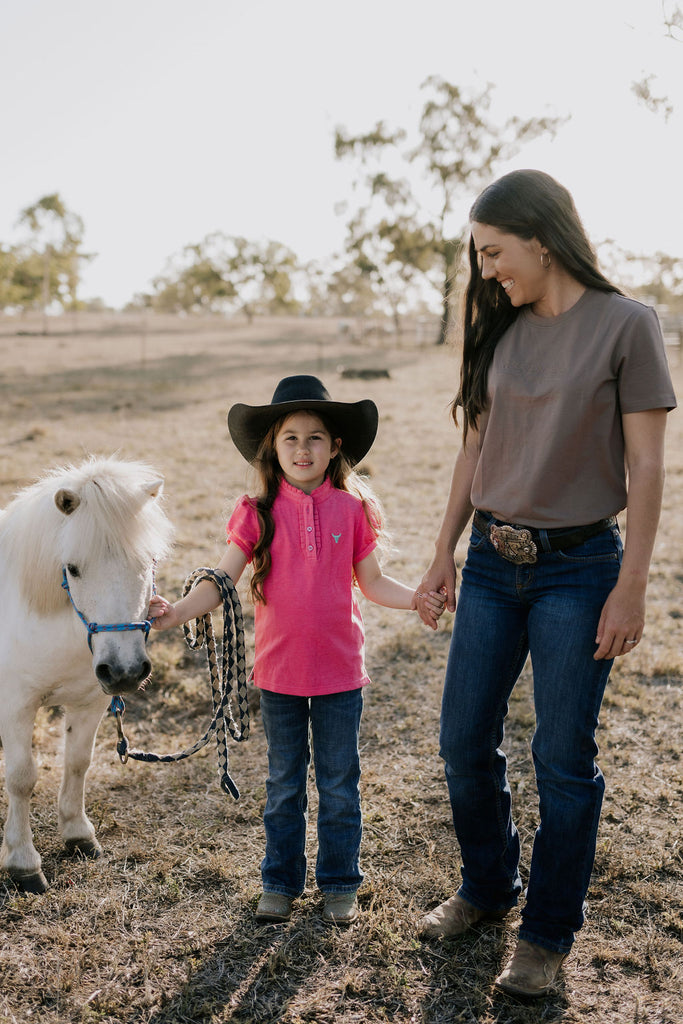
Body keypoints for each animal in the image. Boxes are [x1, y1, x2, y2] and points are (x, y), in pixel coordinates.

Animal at [0, 454, 171, 888]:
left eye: (149, 562)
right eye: (73, 569)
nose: (126, 670)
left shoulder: (90, 702)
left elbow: (78, 761)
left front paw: (78, 835)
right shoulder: (15, 706)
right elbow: (21, 777)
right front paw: (23, 862)